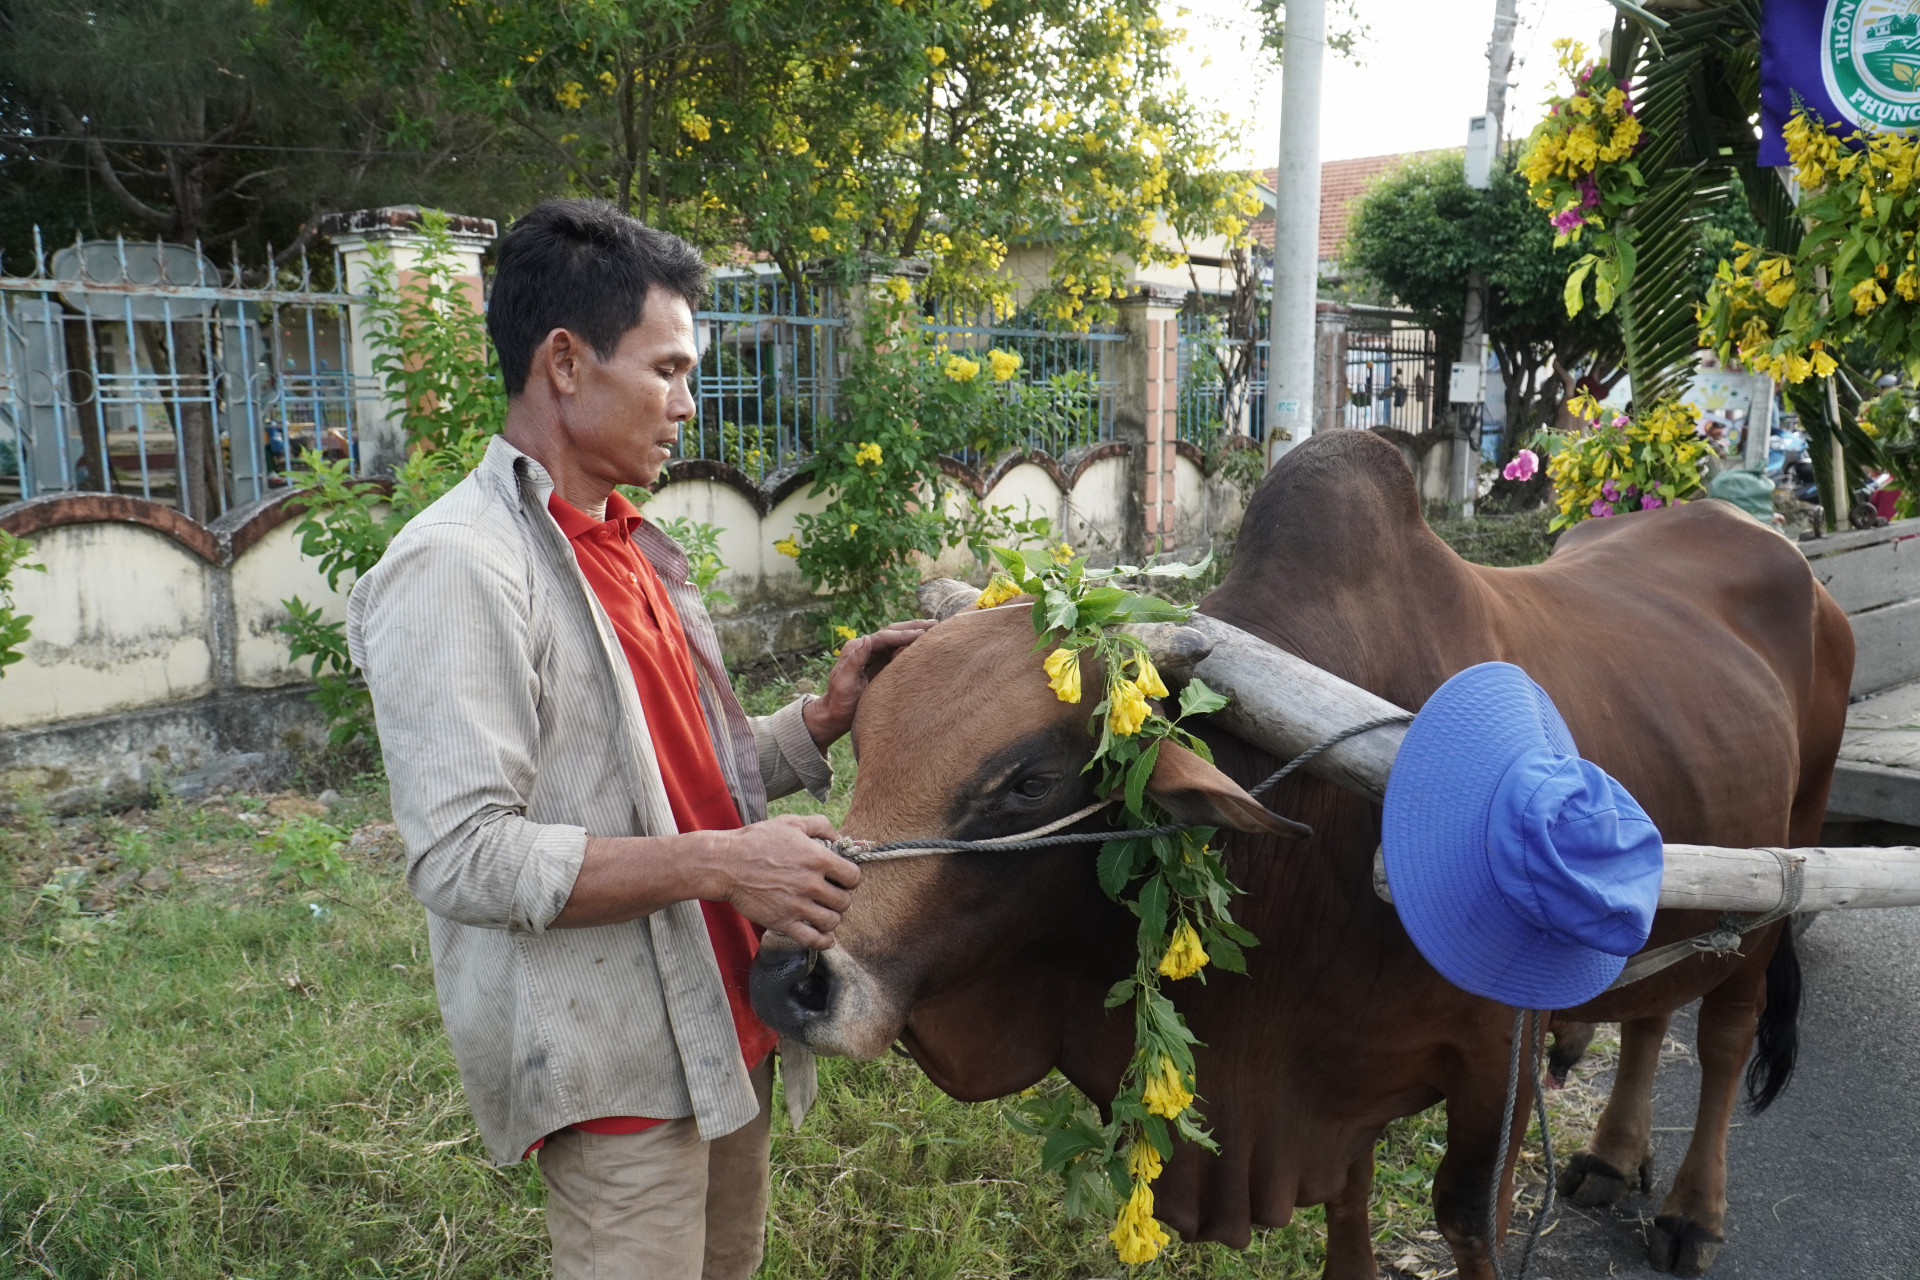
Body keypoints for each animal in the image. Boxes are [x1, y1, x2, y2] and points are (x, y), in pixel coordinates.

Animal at [744, 433, 1843, 1280]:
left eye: (1029, 782)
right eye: (865, 737)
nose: (788, 978)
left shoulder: (1499, 1055)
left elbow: (1465, 1219)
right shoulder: (1333, 1083)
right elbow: (1349, 1208)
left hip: (1782, 869)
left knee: (1726, 1036)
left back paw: (1691, 1212)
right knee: (1652, 1015)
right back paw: (1613, 1160)